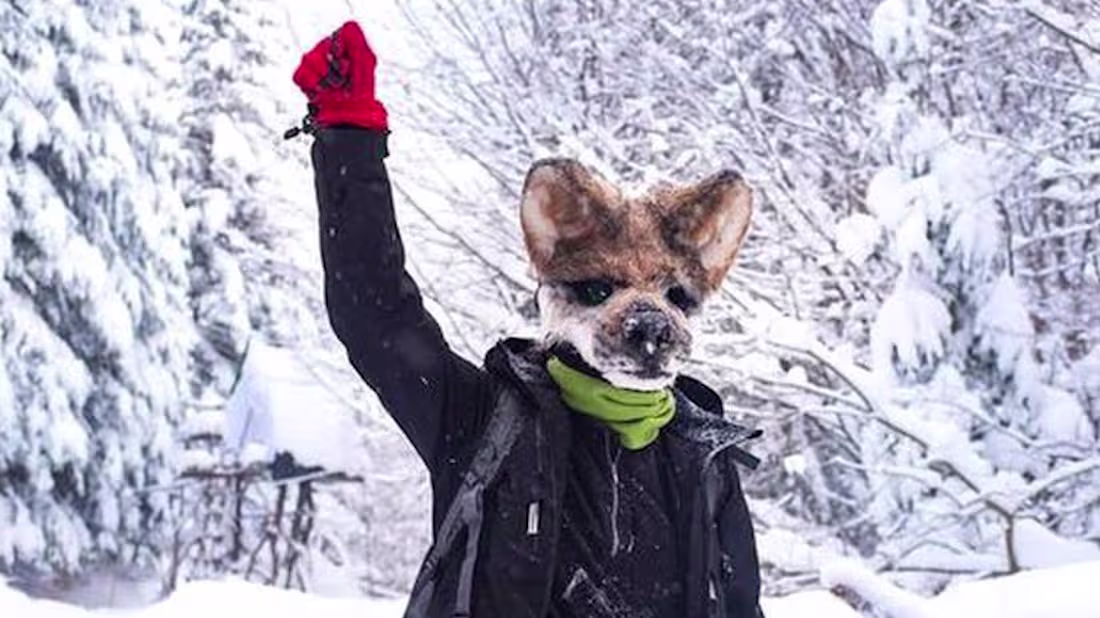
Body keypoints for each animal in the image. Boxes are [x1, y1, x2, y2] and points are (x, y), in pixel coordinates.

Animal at [294, 20, 763, 618]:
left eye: (678, 295)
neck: (620, 426)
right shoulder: (422, 365)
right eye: (596, 289)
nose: (652, 329)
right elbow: (374, 298)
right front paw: (344, 90)